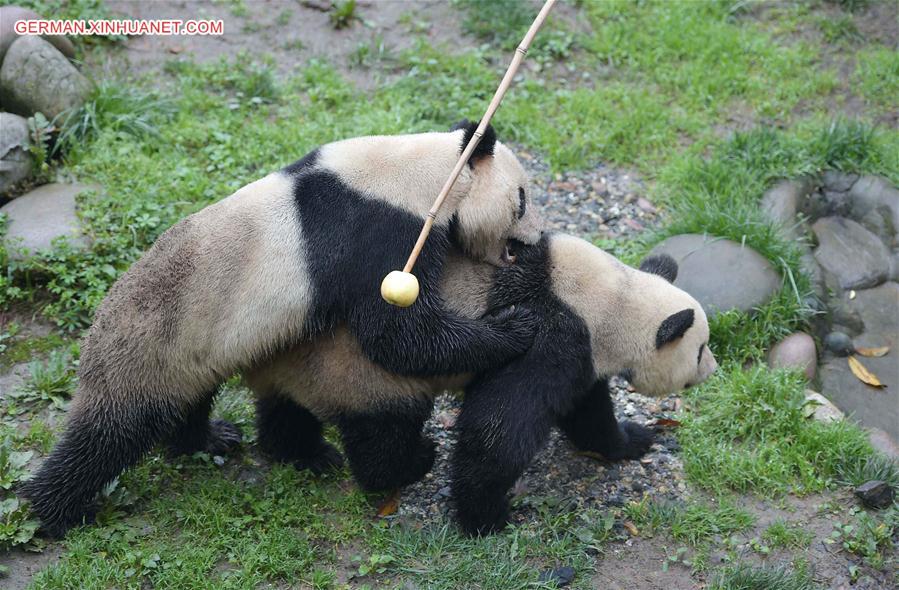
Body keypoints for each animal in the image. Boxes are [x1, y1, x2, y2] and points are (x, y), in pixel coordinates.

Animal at [243, 235, 720, 536]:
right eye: (700, 349)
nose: (713, 370)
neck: (610, 297)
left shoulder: (583, 350)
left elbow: (588, 413)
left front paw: (631, 439)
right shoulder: (552, 332)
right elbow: (500, 428)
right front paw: (486, 518)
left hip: (303, 369)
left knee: (284, 409)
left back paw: (298, 452)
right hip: (359, 371)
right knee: (385, 427)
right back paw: (410, 463)